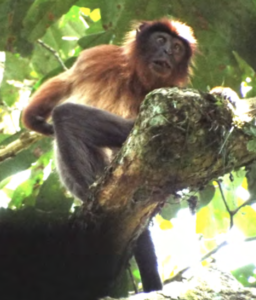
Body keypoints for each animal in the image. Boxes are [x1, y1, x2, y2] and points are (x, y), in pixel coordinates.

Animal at [23, 18, 197, 292]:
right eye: (161, 40)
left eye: (178, 47)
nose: (168, 51)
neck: (136, 78)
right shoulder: (99, 55)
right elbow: (64, 83)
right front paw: (35, 120)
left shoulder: (168, 89)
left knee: (69, 115)